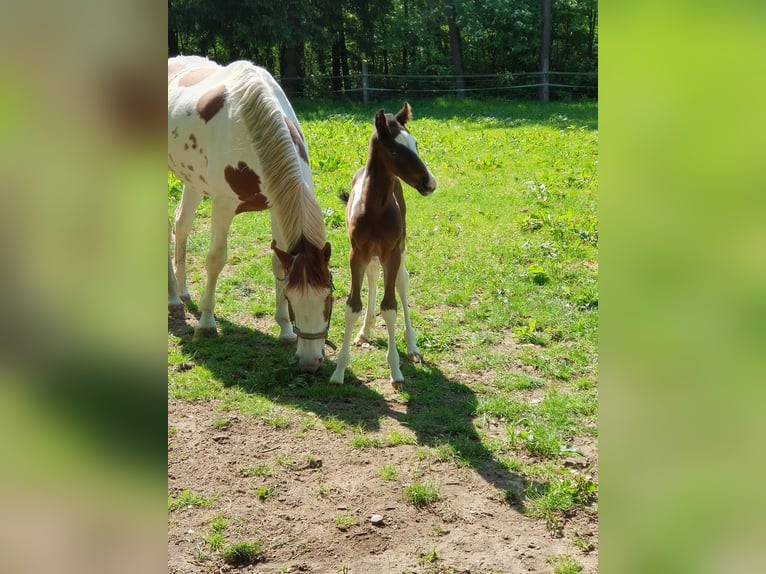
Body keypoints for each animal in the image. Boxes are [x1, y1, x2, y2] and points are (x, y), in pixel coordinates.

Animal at [169, 56, 332, 374]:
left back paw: (182, 292)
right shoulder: (223, 205)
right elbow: (215, 260)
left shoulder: (277, 206)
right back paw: (172, 298)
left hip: (192, 182)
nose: (310, 362)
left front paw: (285, 331)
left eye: (328, 297)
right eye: (293, 299)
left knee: (181, 225)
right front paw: (206, 324)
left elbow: (279, 265)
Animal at [330, 104, 438, 388]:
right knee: (372, 275)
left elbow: (390, 307)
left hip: (399, 249)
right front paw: (339, 370)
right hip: (370, 254)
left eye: (415, 144)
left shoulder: (391, 252)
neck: (375, 210)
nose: (430, 183)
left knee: (402, 281)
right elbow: (352, 305)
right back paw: (364, 331)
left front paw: (395, 371)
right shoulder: (356, 253)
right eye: (393, 150)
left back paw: (412, 348)